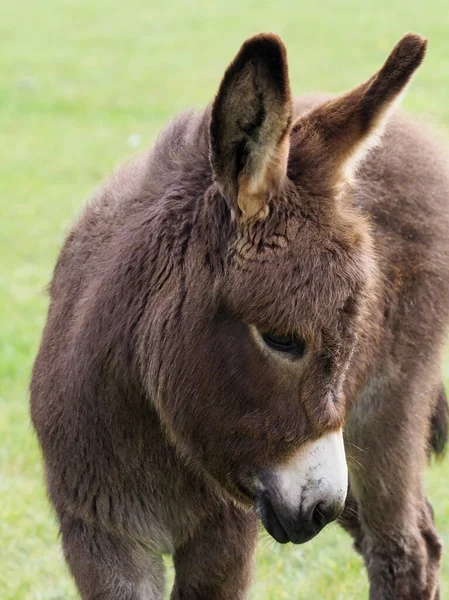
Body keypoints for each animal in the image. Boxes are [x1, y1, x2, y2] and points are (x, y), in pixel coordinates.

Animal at [31, 32, 448, 600]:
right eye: (280, 339)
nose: (320, 510)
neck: (151, 427)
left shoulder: (226, 534)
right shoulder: (98, 533)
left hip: (384, 411)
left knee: (404, 548)